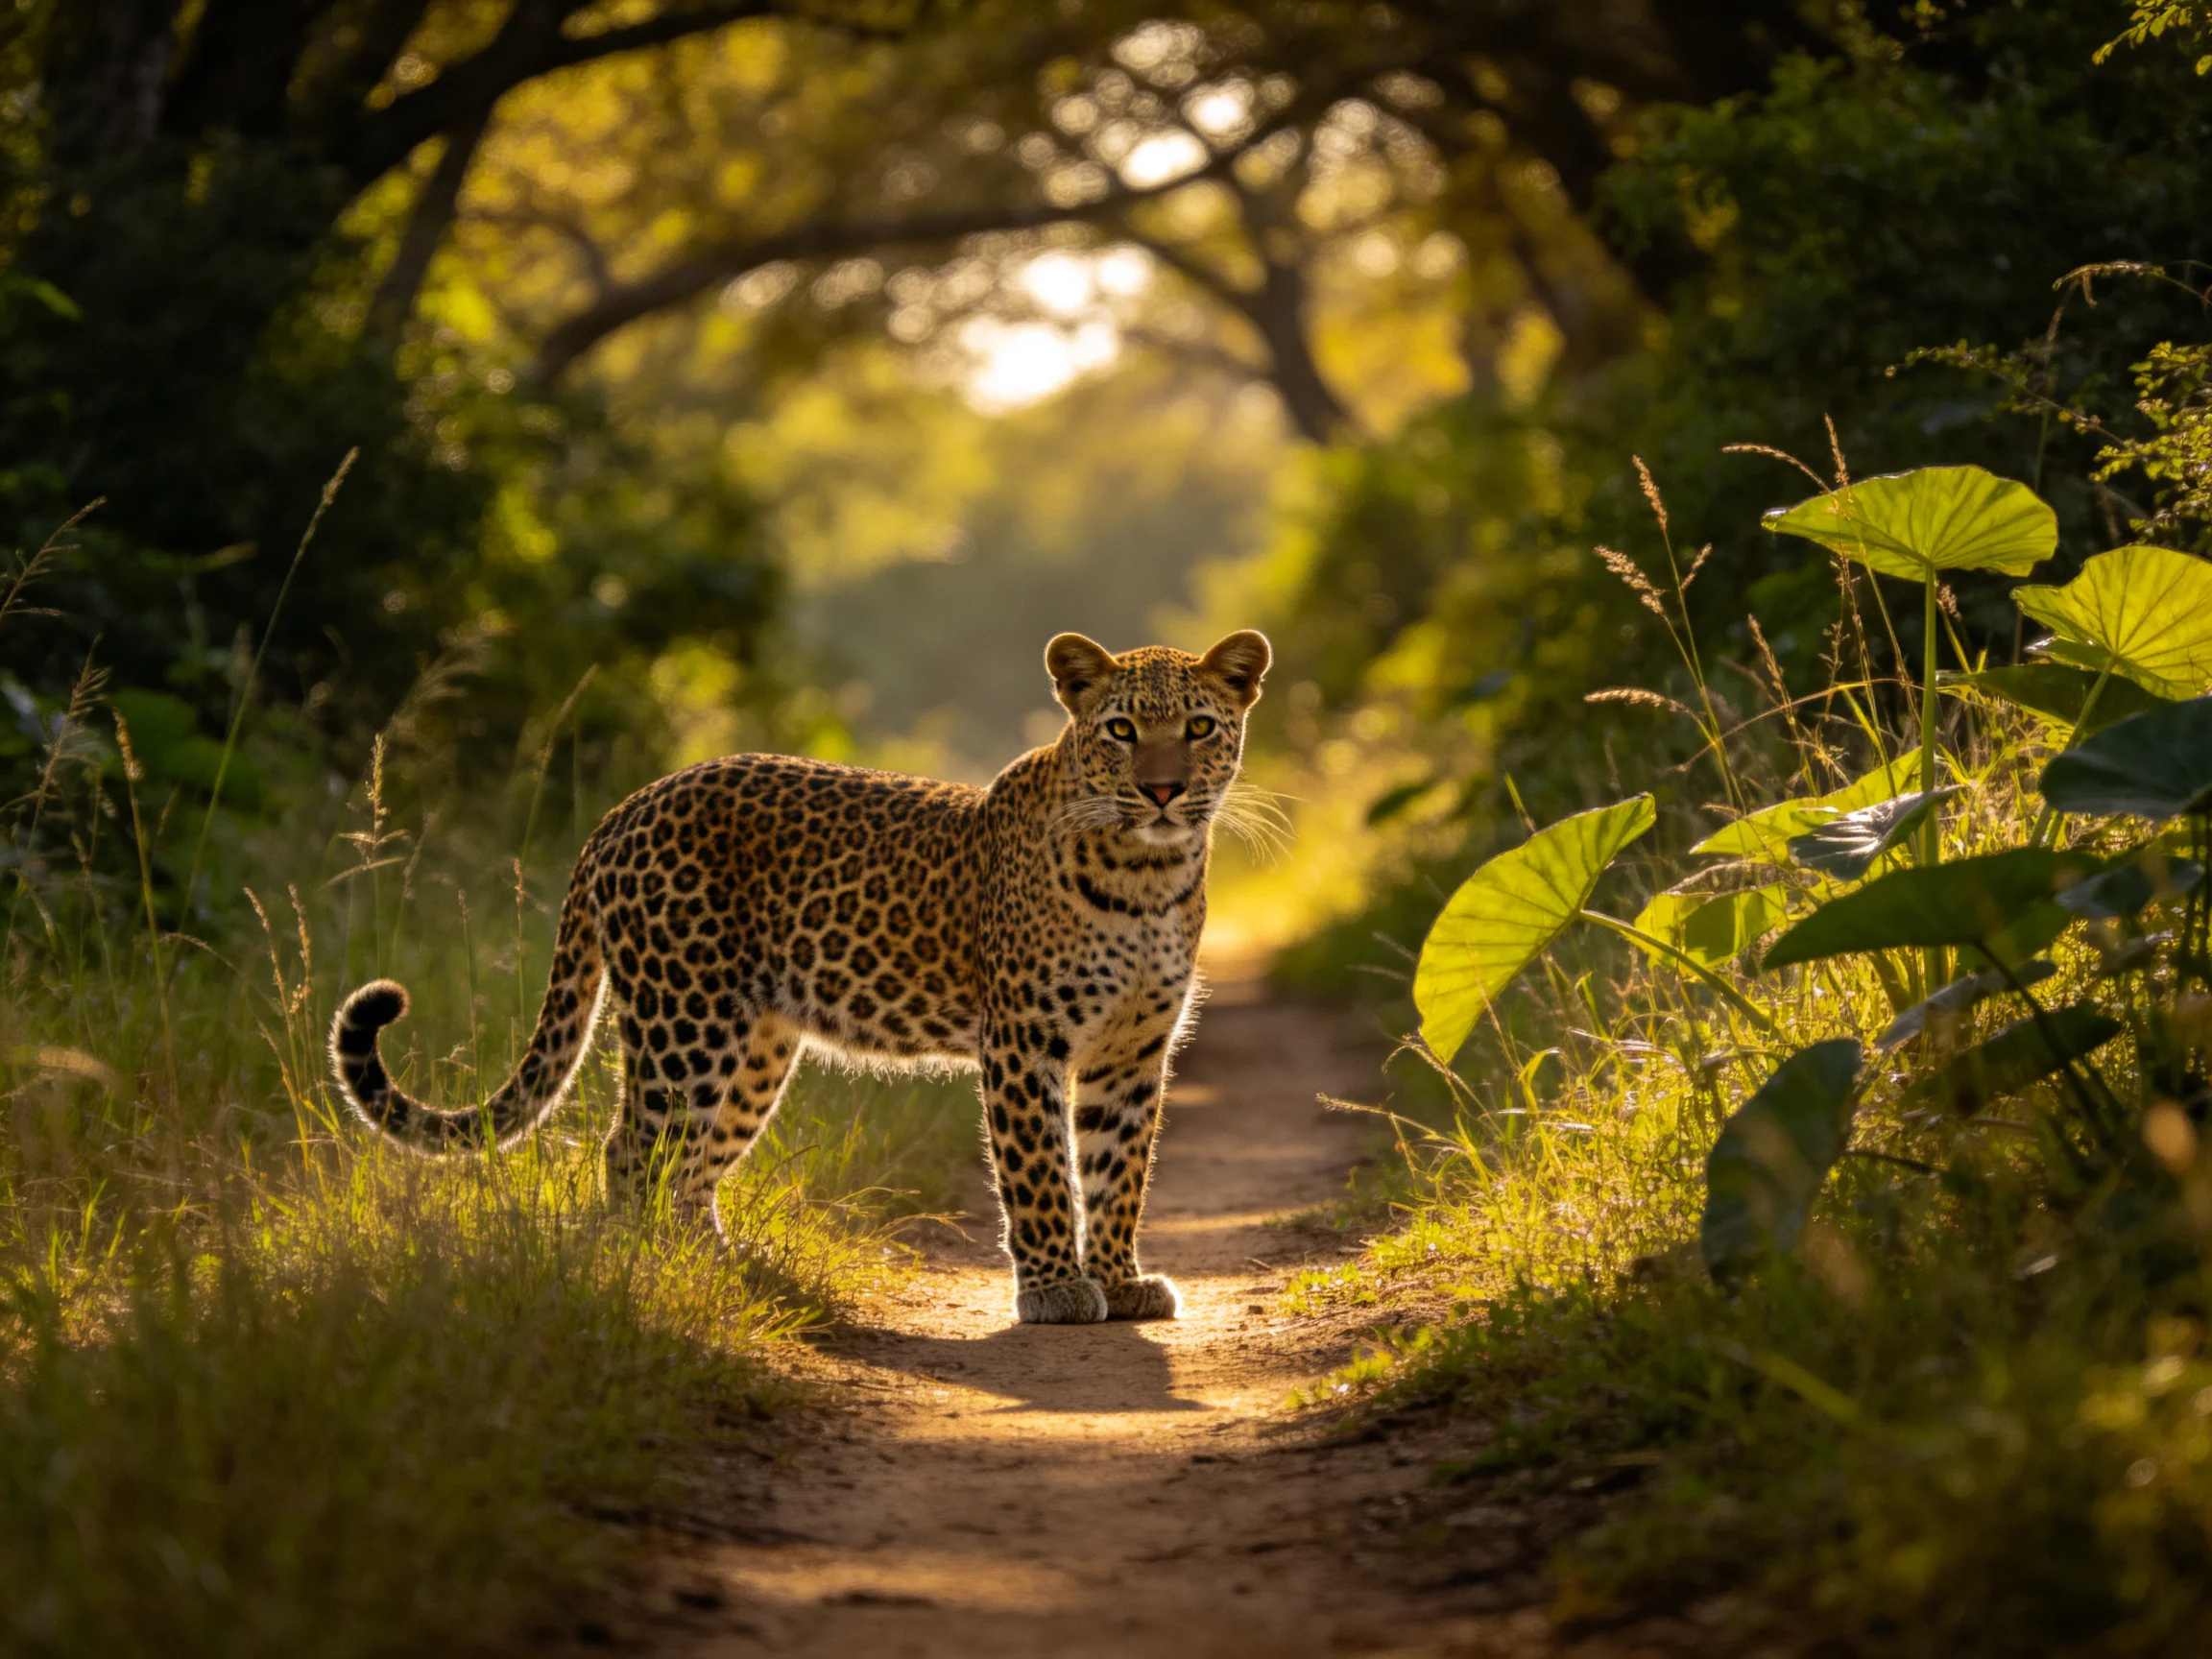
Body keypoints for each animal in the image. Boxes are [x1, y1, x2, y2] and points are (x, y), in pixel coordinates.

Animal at [329, 628, 1271, 1325]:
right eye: (1121, 731)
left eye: (1198, 728)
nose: (1162, 791)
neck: (1147, 875)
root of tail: (624, 810)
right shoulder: (1023, 1041)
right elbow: (1040, 1169)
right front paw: (1056, 1291)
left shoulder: (1132, 1050)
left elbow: (1119, 1168)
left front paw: (1118, 1279)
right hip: (684, 1026)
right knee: (631, 1150)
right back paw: (650, 1274)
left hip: (752, 1049)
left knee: (689, 1165)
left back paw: (714, 1264)